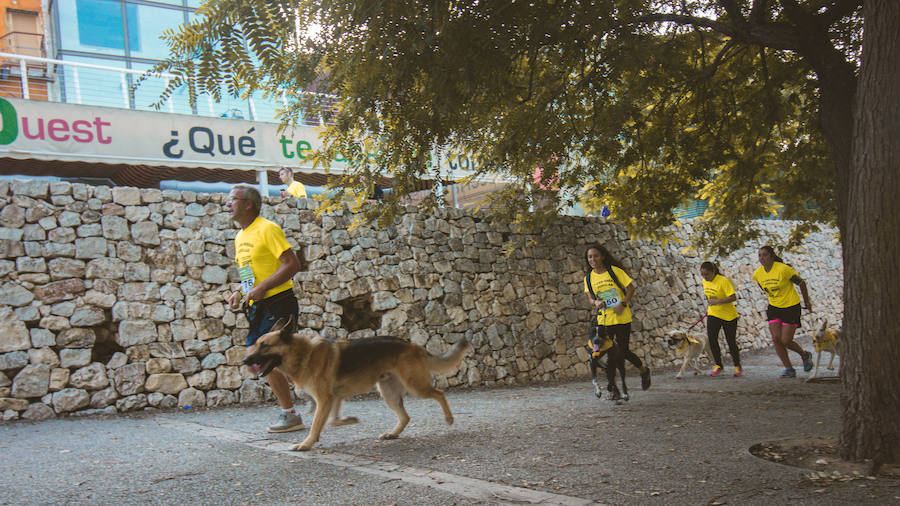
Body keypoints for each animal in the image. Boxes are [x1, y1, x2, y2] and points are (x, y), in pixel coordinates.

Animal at [244, 316, 472, 450]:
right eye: (256, 344)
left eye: (264, 345)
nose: (245, 360)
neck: (303, 354)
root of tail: (413, 345)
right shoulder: (333, 399)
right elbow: (332, 421)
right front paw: (349, 420)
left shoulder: (324, 400)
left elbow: (317, 424)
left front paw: (307, 443)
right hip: (389, 394)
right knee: (405, 417)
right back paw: (392, 434)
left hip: (416, 386)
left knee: (440, 393)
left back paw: (449, 418)